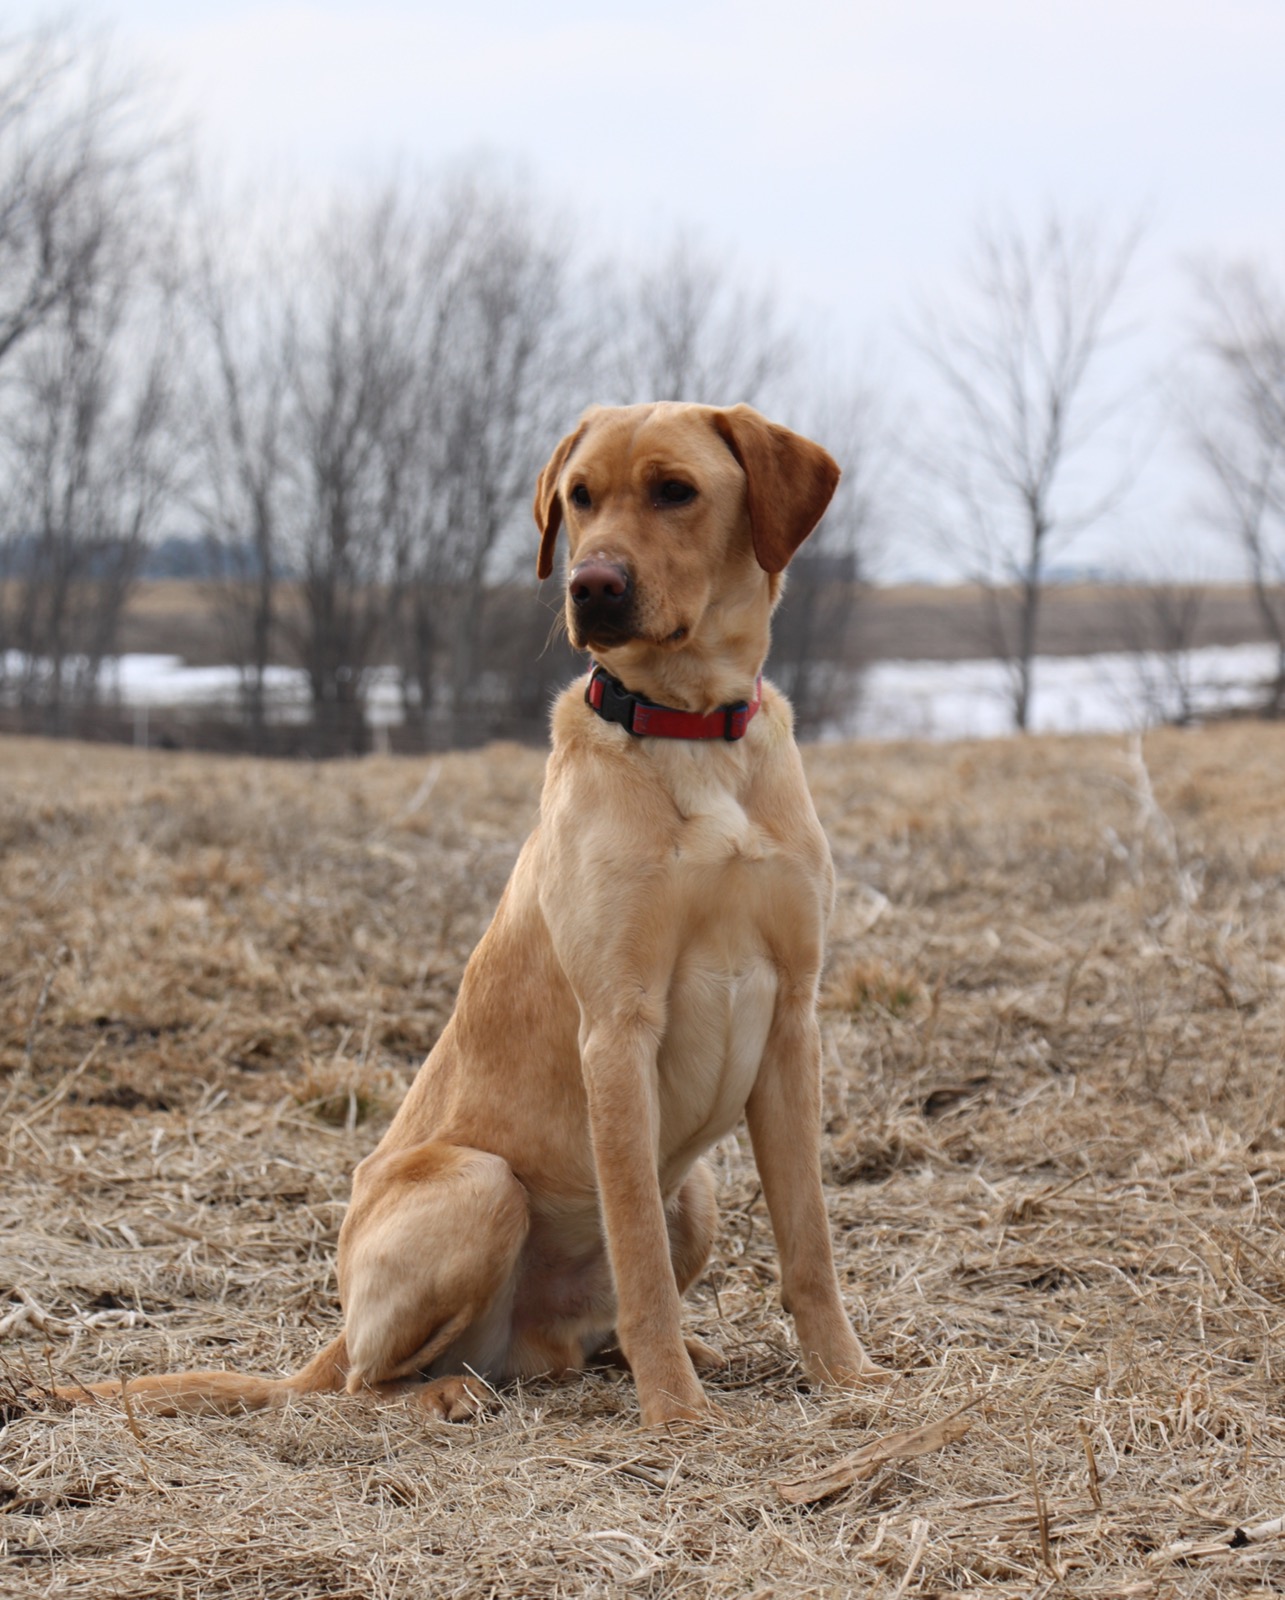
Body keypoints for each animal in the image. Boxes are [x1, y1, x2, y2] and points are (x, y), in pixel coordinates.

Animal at [57, 400, 883, 1427]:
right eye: (579, 497)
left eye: (675, 491)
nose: (591, 585)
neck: (691, 732)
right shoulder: (617, 1030)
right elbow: (640, 1259)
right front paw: (676, 1414)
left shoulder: (791, 1022)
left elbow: (808, 1240)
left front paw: (845, 1375)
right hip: (479, 1186)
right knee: (367, 1385)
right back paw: (454, 1391)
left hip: (692, 1193)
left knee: (573, 1338)